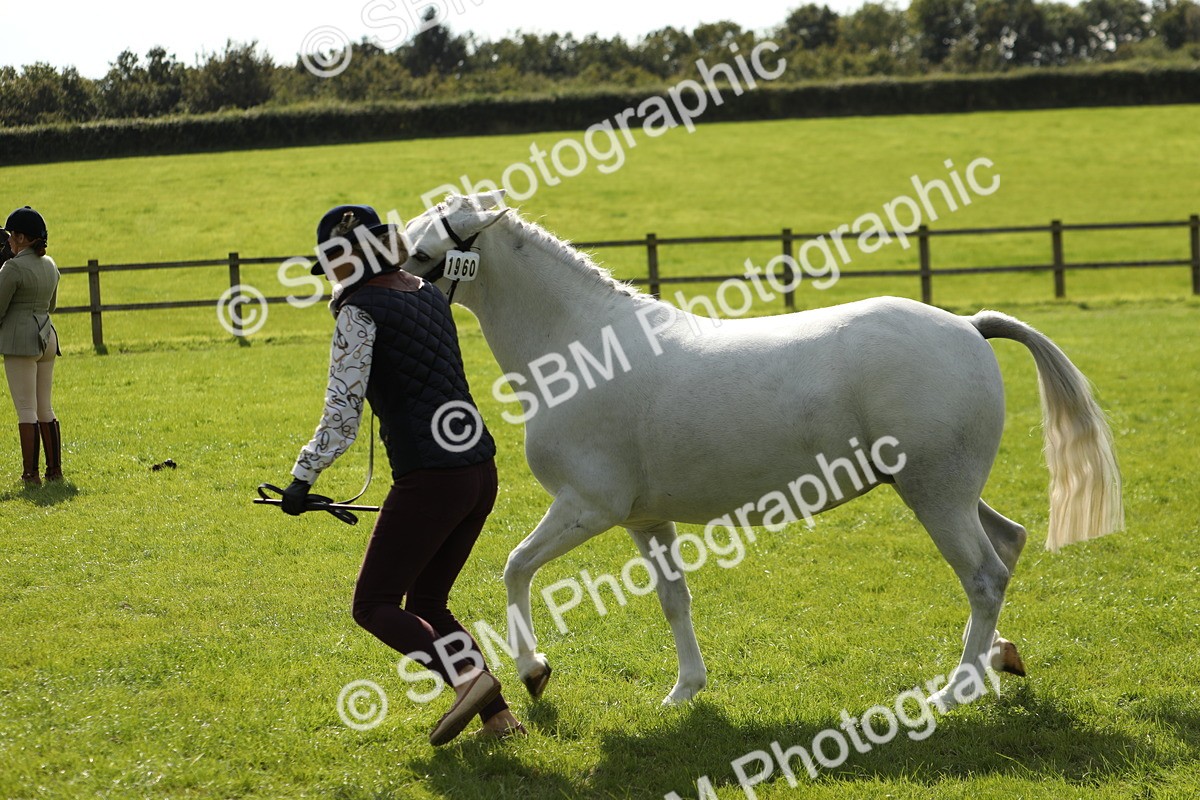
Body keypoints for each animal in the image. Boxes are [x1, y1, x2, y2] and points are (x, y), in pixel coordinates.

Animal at [401, 191, 1123, 710]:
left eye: (421, 254)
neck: (585, 351)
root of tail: (969, 326)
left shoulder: (587, 508)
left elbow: (516, 568)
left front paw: (534, 671)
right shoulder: (644, 520)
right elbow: (674, 599)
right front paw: (684, 691)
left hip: (935, 495)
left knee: (983, 576)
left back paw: (956, 689)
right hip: (947, 491)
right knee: (1007, 543)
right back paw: (998, 660)